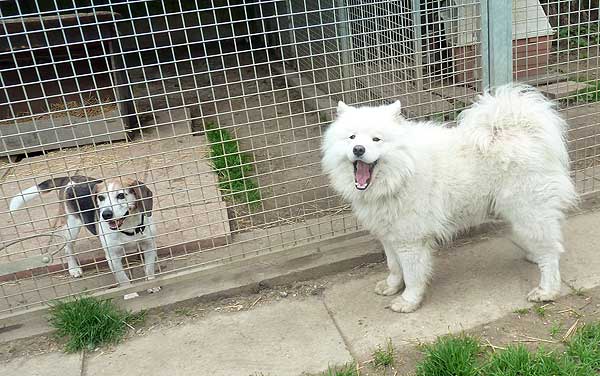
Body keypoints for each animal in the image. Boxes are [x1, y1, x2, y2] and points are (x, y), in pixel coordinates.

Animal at [9, 175, 159, 298]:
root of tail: (69, 179)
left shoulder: (149, 246)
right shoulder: (113, 257)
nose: (105, 214)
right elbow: (123, 278)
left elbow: (149, 269)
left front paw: (151, 285)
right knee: (67, 248)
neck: (129, 226)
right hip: (71, 227)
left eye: (121, 195)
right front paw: (130, 294)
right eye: (101, 198)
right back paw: (74, 269)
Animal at [322, 85, 580, 312]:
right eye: (352, 137)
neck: (402, 172)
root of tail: (523, 130)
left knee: (551, 252)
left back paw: (547, 290)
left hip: (528, 209)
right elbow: (394, 266)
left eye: (376, 139)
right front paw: (391, 287)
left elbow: (412, 275)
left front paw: (408, 301)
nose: (358, 149)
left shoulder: (410, 240)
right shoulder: (389, 235)